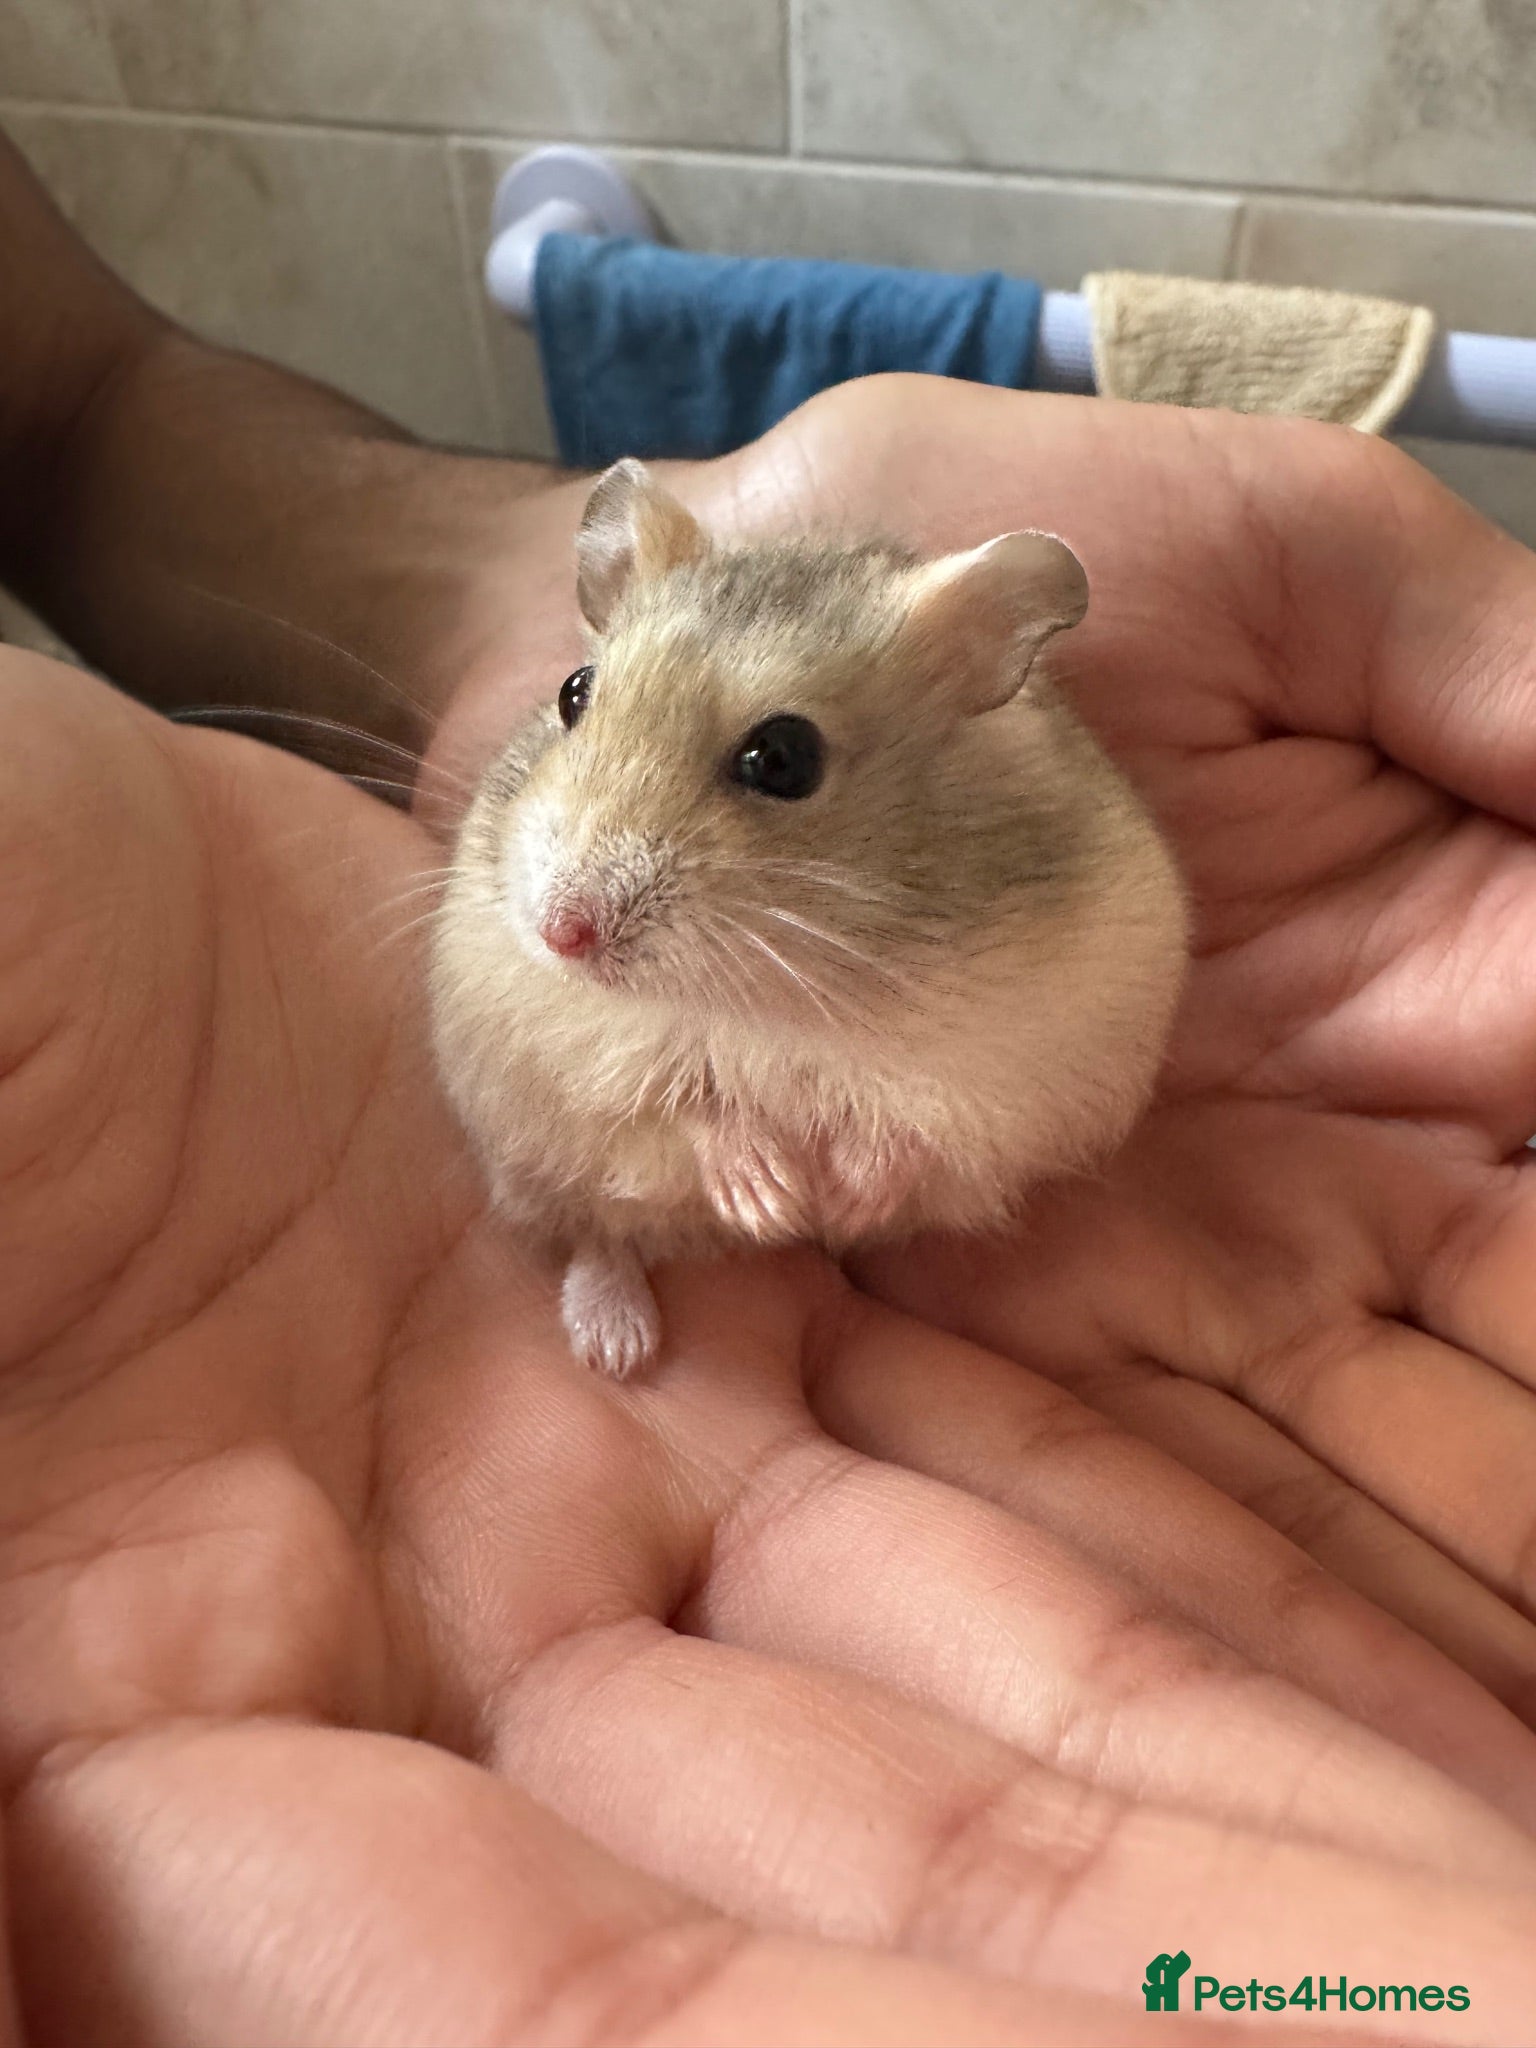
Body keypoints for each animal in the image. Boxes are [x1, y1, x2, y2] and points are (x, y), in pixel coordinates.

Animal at [430, 458, 1187, 1378]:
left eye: (783, 759)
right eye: (574, 694)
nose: (558, 935)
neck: (787, 984)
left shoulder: (1023, 1061)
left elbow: (916, 1123)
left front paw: (843, 1198)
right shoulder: (573, 1040)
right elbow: (684, 1095)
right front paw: (769, 1198)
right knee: (597, 1231)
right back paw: (619, 1347)